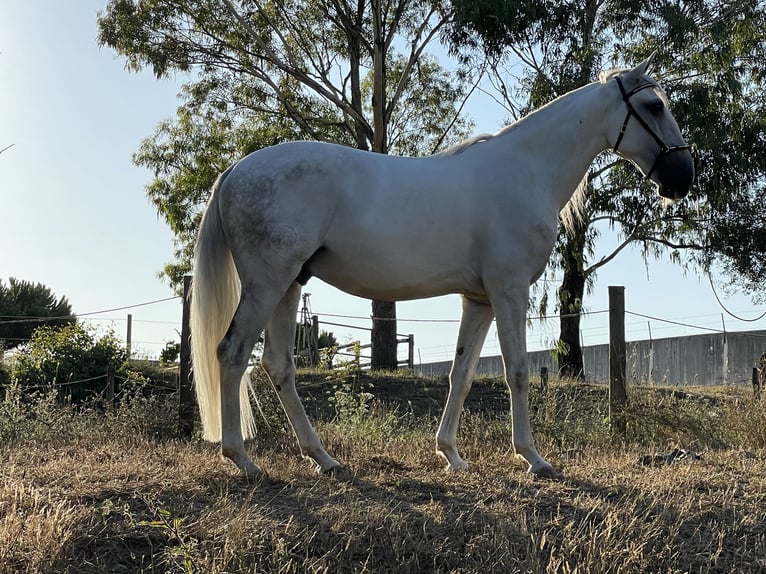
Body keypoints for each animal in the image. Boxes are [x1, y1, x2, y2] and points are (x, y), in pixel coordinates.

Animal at [190, 54, 696, 480]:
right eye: (653, 105)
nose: (683, 178)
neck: (526, 169)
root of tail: (234, 171)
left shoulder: (479, 300)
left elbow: (461, 374)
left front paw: (451, 454)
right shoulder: (509, 291)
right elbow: (517, 372)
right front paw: (533, 459)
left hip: (290, 284)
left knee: (278, 367)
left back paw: (324, 459)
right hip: (266, 283)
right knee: (232, 353)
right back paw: (243, 460)